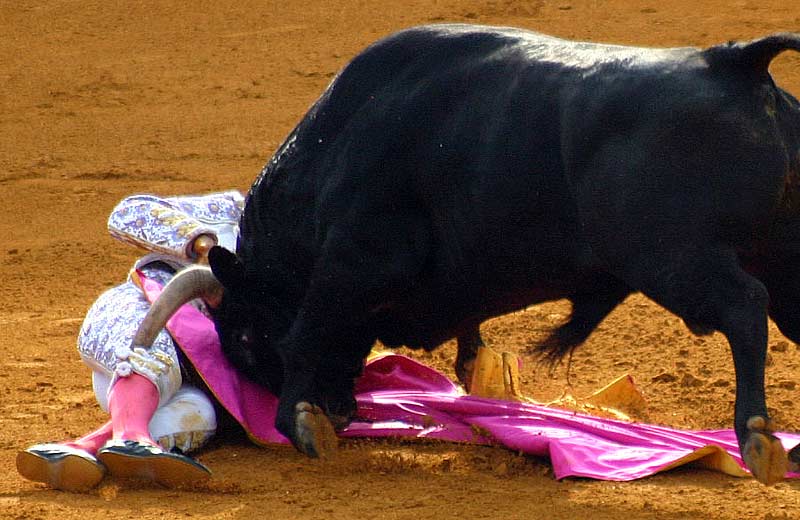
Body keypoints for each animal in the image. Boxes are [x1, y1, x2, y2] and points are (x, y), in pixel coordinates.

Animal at [138, 26, 800, 486]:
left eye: (244, 337)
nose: (341, 410)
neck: (332, 157)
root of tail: (734, 62)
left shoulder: (358, 258)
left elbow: (308, 328)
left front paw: (299, 422)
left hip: (671, 258)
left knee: (745, 308)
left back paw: (756, 439)